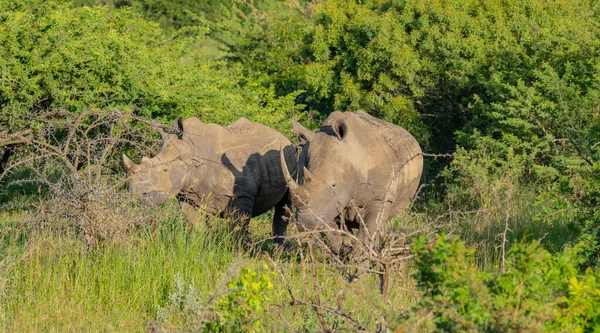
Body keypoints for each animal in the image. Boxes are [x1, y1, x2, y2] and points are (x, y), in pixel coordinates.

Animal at [123, 116, 298, 244]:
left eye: (165, 170)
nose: (136, 195)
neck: (193, 152)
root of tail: (283, 136)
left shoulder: (242, 194)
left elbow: (238, 228)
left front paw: (237, 251)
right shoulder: (188, 196)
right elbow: (198, 224)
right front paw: (204, 245)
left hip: (289, 159)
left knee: (285, 202)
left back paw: (279, 249)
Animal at [280, 111, 422, 254]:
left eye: (333, 185)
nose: (306, 223)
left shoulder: (380, 197)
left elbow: (367, 233)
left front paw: (359, 258)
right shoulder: (326, 205)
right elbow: (331, 235)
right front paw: (343, 252)